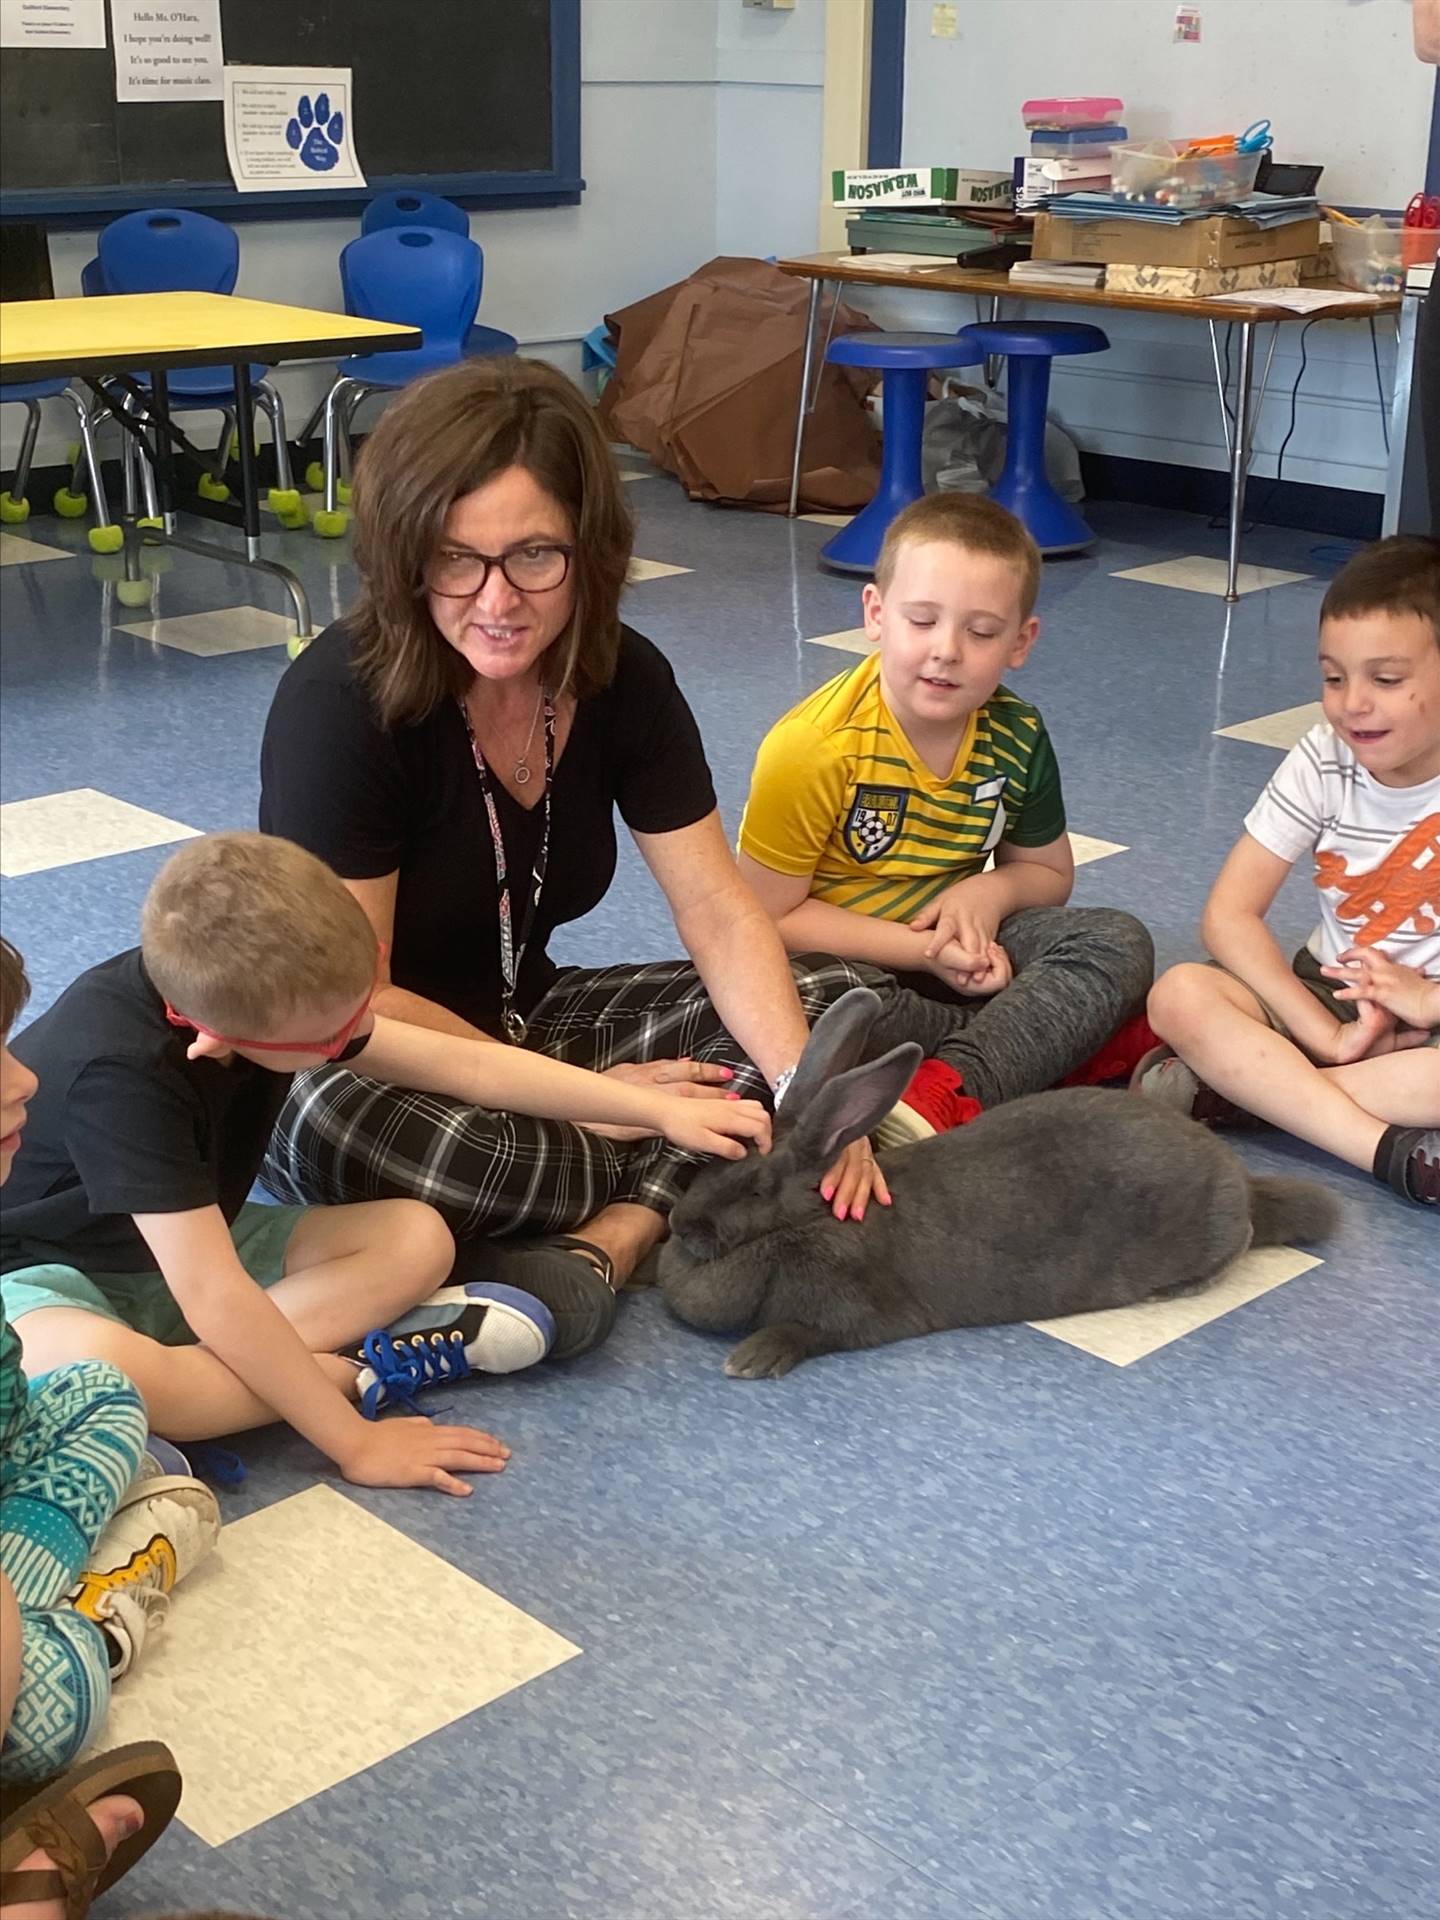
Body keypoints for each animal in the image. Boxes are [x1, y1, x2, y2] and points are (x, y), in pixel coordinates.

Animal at [664, 990, 1344, 1382]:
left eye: (757, 1189)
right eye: (711, 1167)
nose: (679, 1225)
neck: (807, 1222)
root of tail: (1239, 1180)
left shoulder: (859, 1312)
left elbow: (811, 1333)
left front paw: (751, 1358)